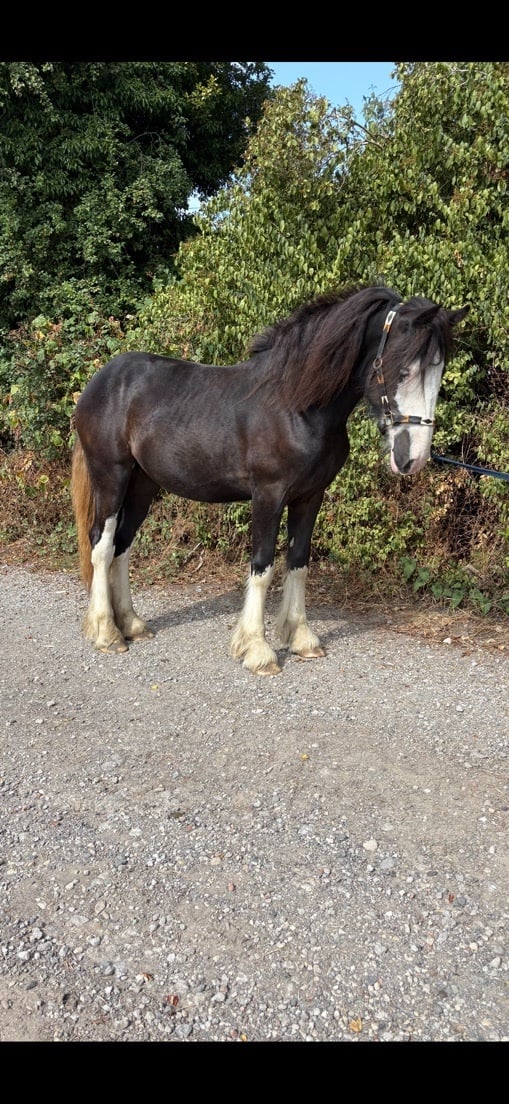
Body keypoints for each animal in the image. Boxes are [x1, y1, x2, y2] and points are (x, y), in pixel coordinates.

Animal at [71, 284, 468, 675]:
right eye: (404, 370)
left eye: (439, 372)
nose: (413, 458)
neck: (297, 406)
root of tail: (101, 381)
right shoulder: (268, 495)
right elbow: (262, 567)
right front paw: (257, 650)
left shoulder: (310, 496)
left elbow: (299, 561)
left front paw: (302, 639)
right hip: (111, 476)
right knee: (101, 544)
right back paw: (107, 633)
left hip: (143, 484)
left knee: (123, 545)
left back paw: (132, 624)